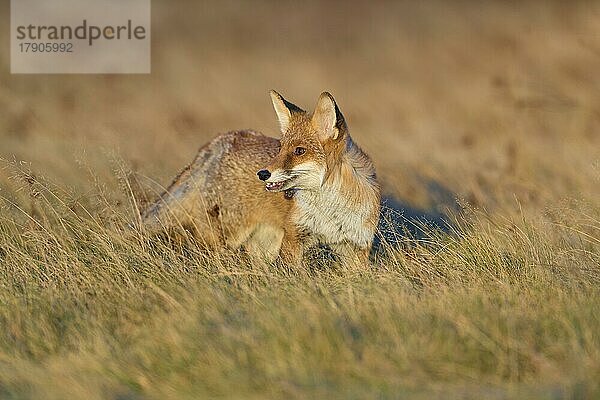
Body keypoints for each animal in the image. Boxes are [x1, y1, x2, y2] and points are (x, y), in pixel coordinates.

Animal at [142, 90, 380, 266]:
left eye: (299, 151)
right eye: (280, 148)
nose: (263, 173)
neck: (329, 211)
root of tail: (220, 140)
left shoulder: (357, 247)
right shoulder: (294, 237)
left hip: (265, 243)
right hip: (226, 236)